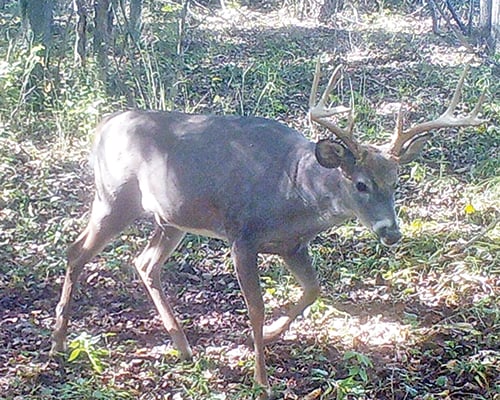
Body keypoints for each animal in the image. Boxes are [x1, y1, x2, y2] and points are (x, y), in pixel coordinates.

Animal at [50, 61, 484, 398]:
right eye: (361, 184)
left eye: (396, 181)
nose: (391, 233)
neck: (292, 190)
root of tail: (102, 126)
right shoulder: (242, 235)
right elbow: (255, 307)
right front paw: (261, 379)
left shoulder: (293, 245)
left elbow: (312, 289)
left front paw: (275, 333)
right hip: (114, 196)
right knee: (77, 252)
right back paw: (58, 341)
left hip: (170, 217)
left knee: (144, 263)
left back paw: (183, 347)